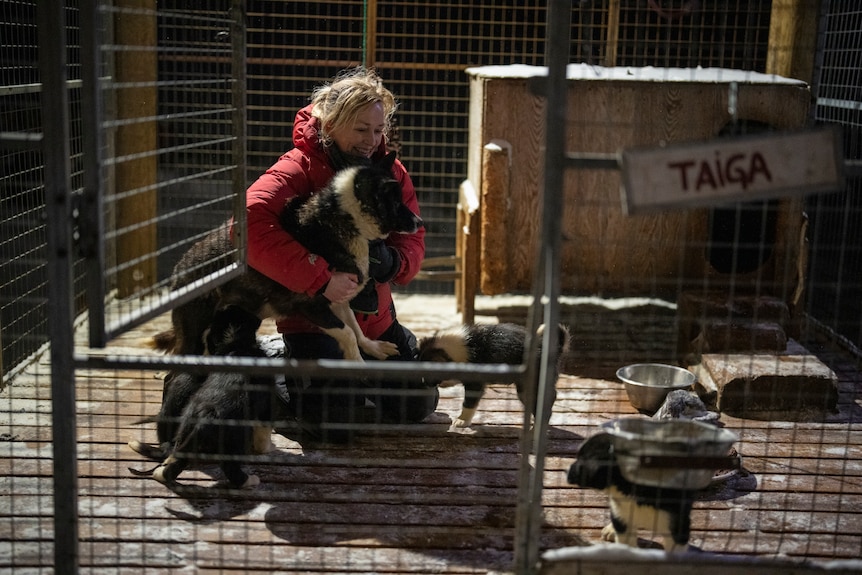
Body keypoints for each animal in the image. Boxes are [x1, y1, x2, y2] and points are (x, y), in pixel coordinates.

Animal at [155, 151, 426, 362]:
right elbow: (348, 333)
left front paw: (373, 347)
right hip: (195, 332)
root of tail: (178, 270)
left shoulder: (339, 299)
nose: (420, 222)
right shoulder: (313, 307)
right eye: (396, 204)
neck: (345, 219)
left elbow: (356, 328)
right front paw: (357, 364)